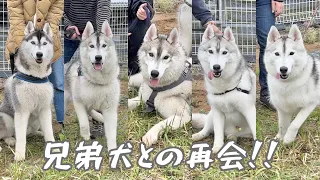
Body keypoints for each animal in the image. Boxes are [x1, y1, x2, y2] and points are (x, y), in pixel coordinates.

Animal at [0, 21, 55, 160]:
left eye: (44, 43)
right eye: (33, 42)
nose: (39, 54)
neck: (35, 77)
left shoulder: (45, 109)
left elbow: (49, 131)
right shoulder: (22, 111)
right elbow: (21, 138)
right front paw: (19, 155)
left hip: (35, 121)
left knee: (30, 132)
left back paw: (38, 133)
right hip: (6, 118)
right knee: (8, 134)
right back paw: (10, 140)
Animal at [64, 20, 119, 151]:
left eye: (104, 45)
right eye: (92, 46)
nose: (98, 57)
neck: (98, 81)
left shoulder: (110, 108)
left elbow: (111, 133)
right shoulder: (78, 102)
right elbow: (84, 123)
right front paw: (85, 136)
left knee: (90, 109)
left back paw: (99, 116)